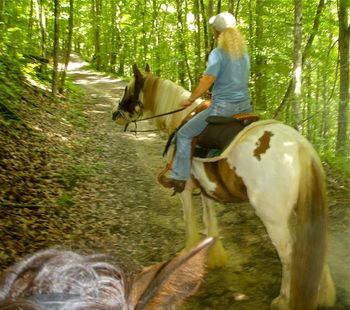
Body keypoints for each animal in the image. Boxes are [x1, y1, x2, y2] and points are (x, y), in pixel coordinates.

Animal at [113, 64, 336, 308]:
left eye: (128, 88)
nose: (115, 115)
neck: (180, 117)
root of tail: (301, 148)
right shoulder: (207, 188)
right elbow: (210, 219)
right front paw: (215, 257)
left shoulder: (186, 188)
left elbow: (190, 220)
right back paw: (321, 294)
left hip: (274, 219)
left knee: (289, 254)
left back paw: (284, 300)